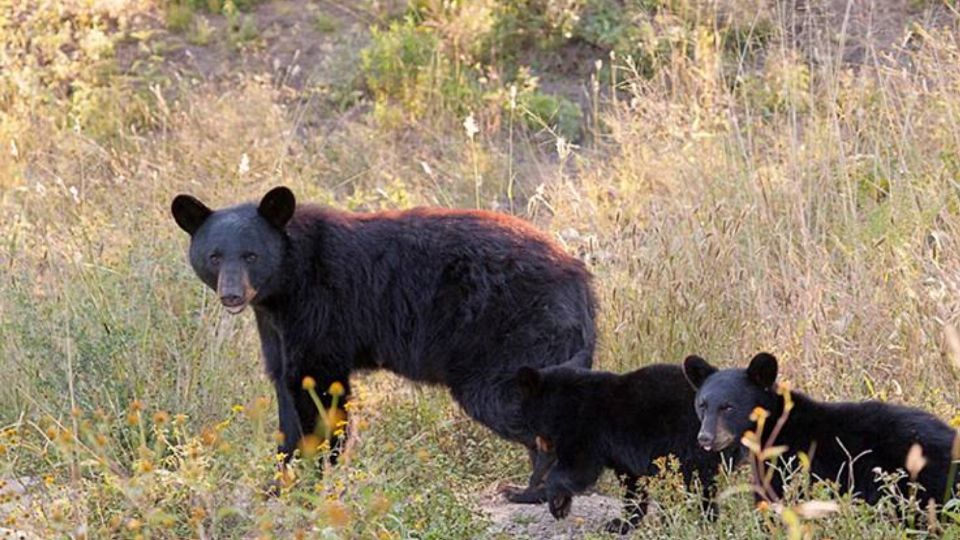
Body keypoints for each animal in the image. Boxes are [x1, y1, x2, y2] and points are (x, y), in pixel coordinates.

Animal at [169, 186, 596, 498]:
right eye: (215, 256)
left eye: (251, 255)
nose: (232, 295)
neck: (286, 285)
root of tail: (579, 275)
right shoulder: (276, 328)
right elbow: (286, 394)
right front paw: (277, 483)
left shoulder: (321, 311)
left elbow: (318, 391)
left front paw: (312, 480)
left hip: (515, 336)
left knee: (513, 400)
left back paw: (531, 492)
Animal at [516, 362, 720, 532]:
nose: (533, 480)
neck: (562, 405)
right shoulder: (623, 455)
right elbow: (632, 484)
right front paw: (621, 522)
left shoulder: (586, 428)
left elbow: (578, 468)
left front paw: (557, 505)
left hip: (687, 443)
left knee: (691, 482)